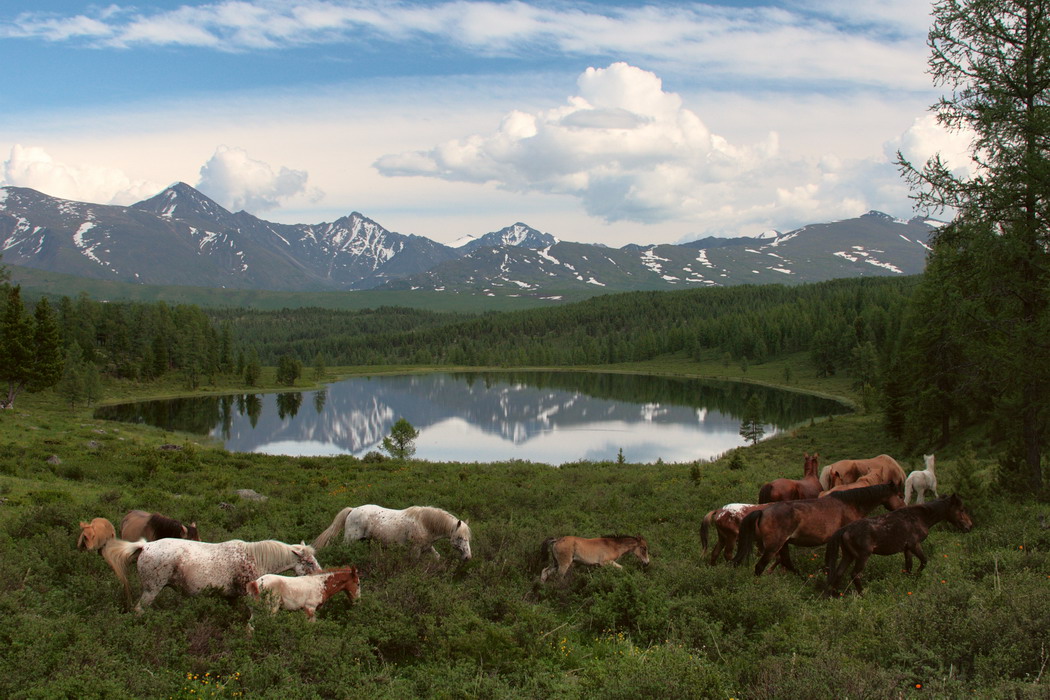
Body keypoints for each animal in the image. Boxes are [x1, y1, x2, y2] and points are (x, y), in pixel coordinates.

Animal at [101, 537, 319, 612]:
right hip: (151, 589)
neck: (256, 559)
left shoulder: (231, 598)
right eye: (309, 562)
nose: (319, 575)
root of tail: (144, 546)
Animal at [310, 505, 472, 562]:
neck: (425, 523)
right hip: (350, 540)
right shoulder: (415, 549)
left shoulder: (427, 547)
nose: (468, 557)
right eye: (459, 538)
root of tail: (352, 510)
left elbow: (437, 557)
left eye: (467, 539)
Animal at [734, 484, 907, 579]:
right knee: (760, 567)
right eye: (900, 495)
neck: (850, 504)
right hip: (773, 547)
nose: (904, 509)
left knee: (787, 563)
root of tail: (763, 512)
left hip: (783, 545)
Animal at [823, 493, 970, 596]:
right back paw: (863, 594)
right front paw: (916, 577)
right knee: (854, 574)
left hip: (848, 556)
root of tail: (844, 530)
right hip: (862, 556)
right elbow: (924, 561)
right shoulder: (914, 544)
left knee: (838, 573)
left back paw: (833, 595)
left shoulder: (907, 548)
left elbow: (908, 566)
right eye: (962, 509)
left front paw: (909, 581)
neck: (921, 517)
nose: (969, 526)